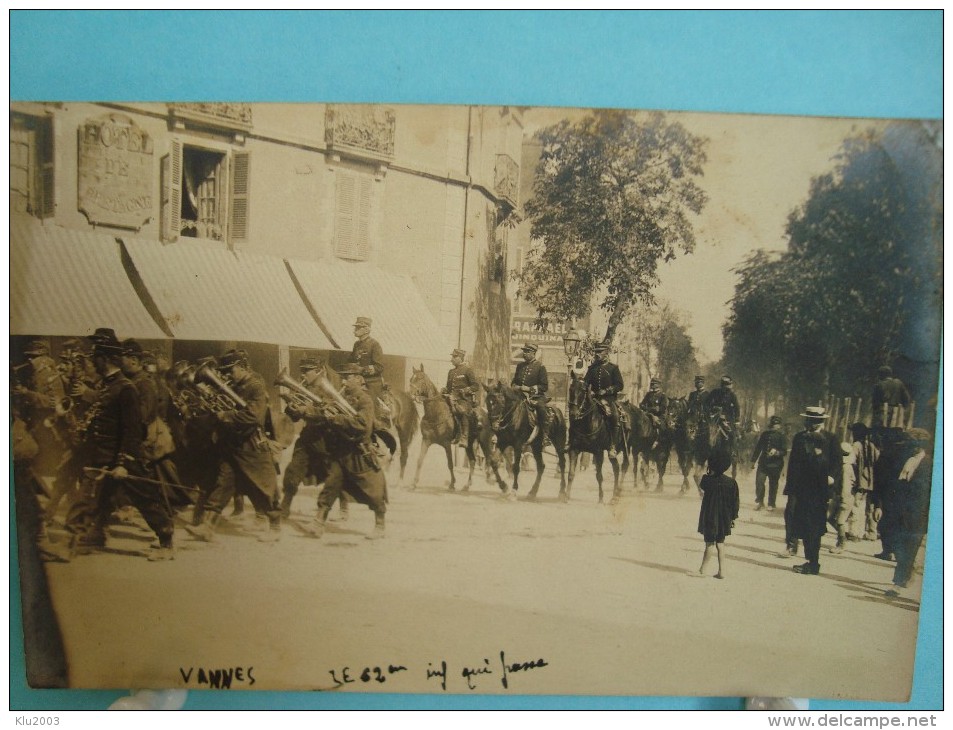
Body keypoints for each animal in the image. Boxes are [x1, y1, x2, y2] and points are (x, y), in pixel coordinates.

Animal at [564, 372, 632, 504]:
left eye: (583, 391)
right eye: (570, 389)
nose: (573, 414)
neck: (587, 422)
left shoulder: (598, 452)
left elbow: (599, 476)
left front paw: (600, 497)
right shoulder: (574, 449)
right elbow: (571, 474)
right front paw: (566, 496)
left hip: (626, 447)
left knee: (624, 466)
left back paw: (617, 494)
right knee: (616, 468)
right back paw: (613, 496)